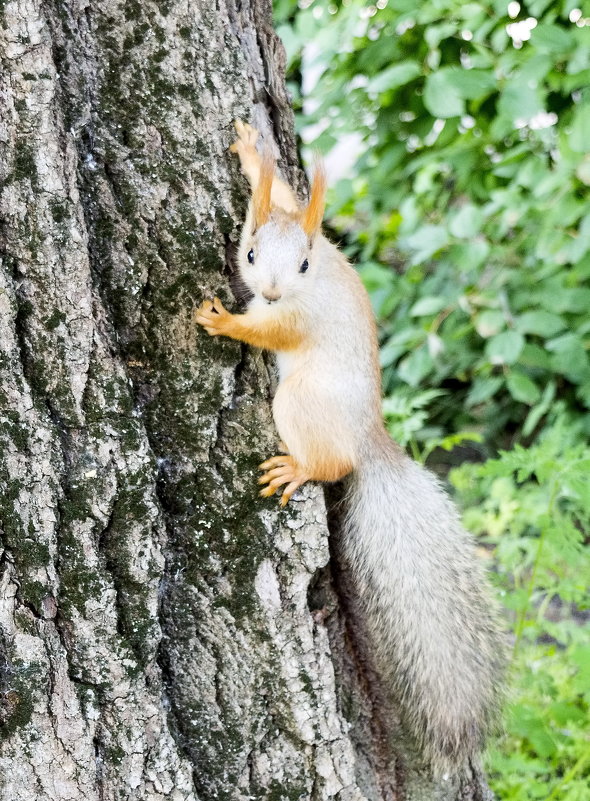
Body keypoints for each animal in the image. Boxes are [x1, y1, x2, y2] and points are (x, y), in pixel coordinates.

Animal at [197, 122, 506, 780]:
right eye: (251, 253)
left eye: (304, 263)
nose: (268, 289)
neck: (307, 282)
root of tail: (368, 439)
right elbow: (285, 195)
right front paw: (253, 152)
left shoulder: (295, 317)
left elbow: (268, 331)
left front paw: (225, 322)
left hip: (300, 402)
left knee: (329, 464)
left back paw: (297, 468)